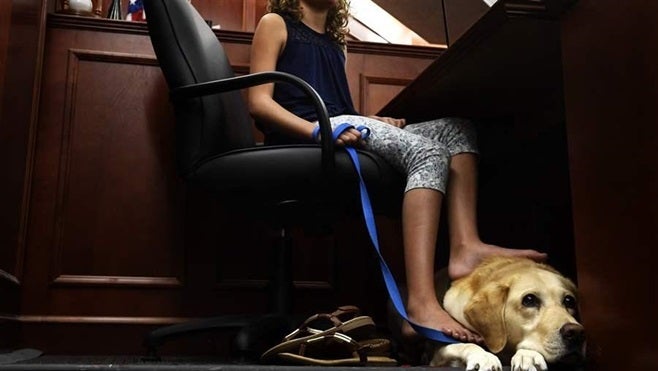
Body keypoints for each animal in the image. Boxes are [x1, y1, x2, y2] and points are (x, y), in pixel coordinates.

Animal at [430, 258, 584, 370]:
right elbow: (463, 344)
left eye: (569, 301)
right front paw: (484, 356)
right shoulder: (438, 352)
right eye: (529, 300)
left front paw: (528, 355)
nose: (576, 332)